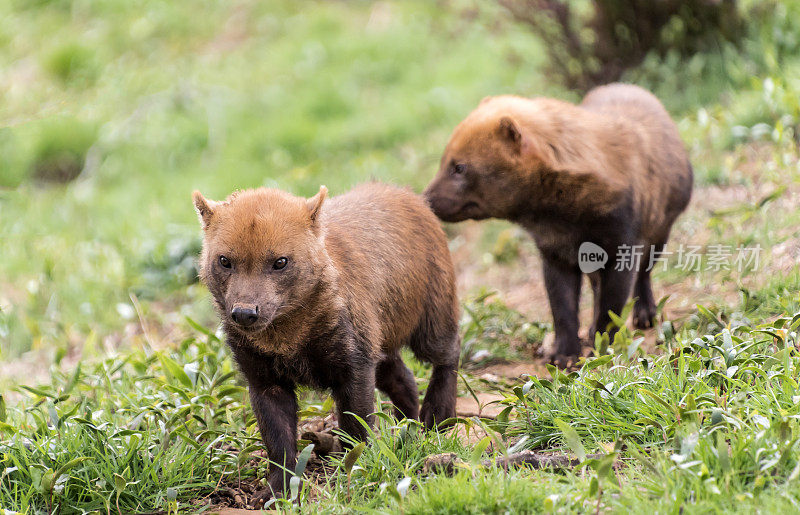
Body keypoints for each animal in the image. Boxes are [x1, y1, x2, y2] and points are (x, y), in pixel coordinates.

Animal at [190, 183, 460, 502]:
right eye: (224, 260)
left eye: (280, 262)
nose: (244, 313)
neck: (287, 340)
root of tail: (413, 197)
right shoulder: (264, 380)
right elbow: (278, 442)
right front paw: (276, 493)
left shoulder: (354, 366)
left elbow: (356, 430)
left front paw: (354, 477)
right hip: (380, 344)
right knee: (404, 378)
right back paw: (407, 428)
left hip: (432, 322)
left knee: (450, 352)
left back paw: (437, 418)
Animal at [424, 83, 692, 366]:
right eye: (445, 160)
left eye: (460, 167)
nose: (426, 198)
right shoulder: (555, 253)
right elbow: (562, 308)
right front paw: (563, 355)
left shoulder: (621, 244)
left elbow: (611, 307)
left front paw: (600, 349)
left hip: (659, 232)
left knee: (644, 274)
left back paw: (645, 315)